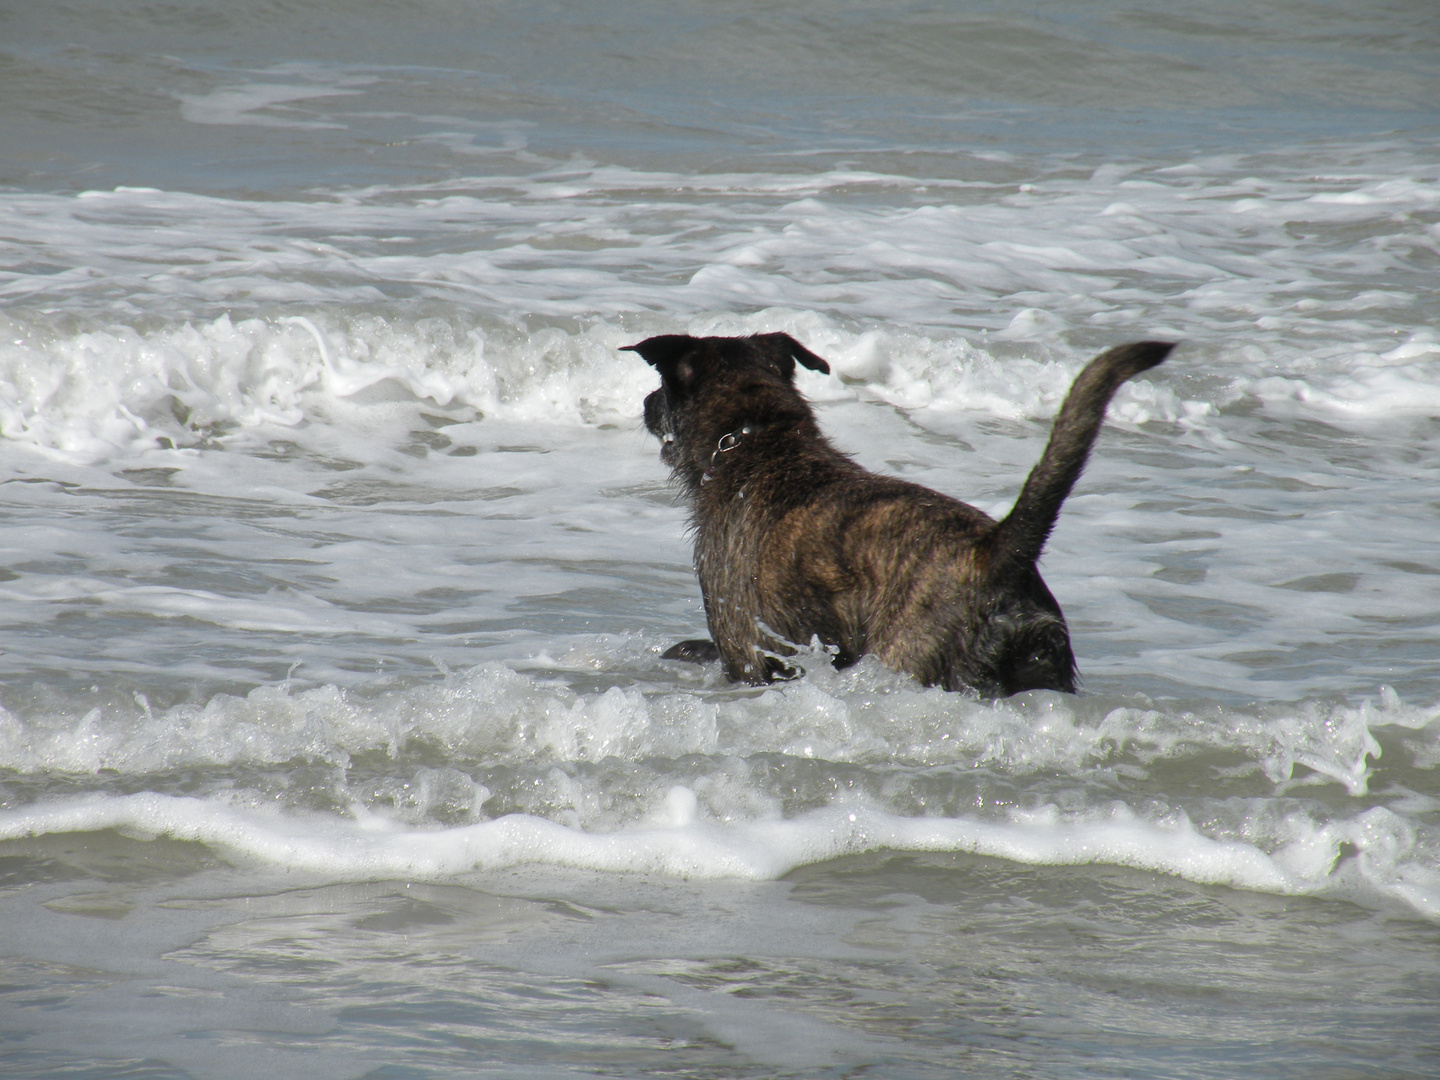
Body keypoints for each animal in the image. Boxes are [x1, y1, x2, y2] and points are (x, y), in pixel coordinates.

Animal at [624, 334, 1175, 696]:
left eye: (662, 386)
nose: (646, 401)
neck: (755, 439)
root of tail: (994, 551)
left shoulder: (744, 650)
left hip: (909, 657)